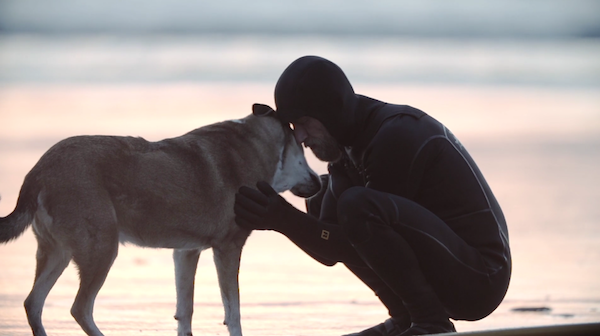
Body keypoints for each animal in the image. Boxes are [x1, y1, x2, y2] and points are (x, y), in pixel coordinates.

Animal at [1, 103, 324, 334]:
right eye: (303, 149)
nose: (320, 182)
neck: (256, 147)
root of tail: (38, 170)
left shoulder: (186, 252)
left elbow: (186, 311)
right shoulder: (228, 248)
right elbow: (233, 313)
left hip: (58, 253)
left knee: (33, 303)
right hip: (101, 249)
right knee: (80, 309)